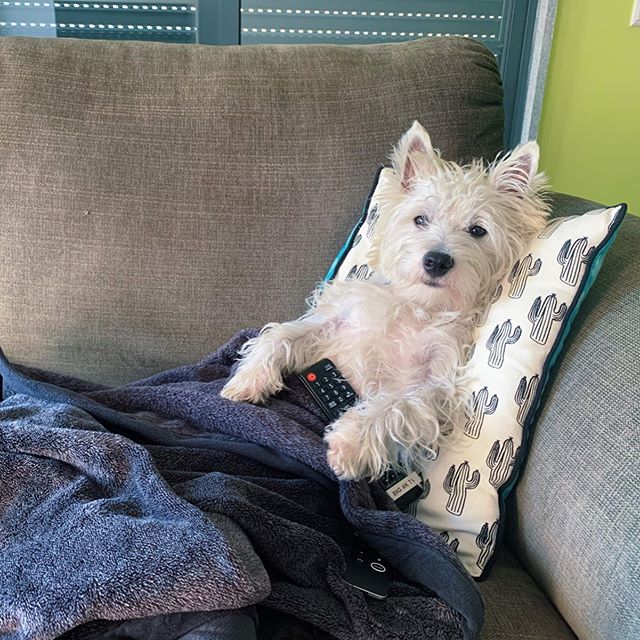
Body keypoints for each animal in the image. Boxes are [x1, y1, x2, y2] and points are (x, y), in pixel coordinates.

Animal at [221, 120, 552, 480]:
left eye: (478, 230)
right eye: (420, 219)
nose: (437, 261)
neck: (416, 306)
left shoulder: (435, 385)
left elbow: (394, 405)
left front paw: (349, 443)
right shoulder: (336, 321)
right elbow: (280, 335)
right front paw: (247, 380)